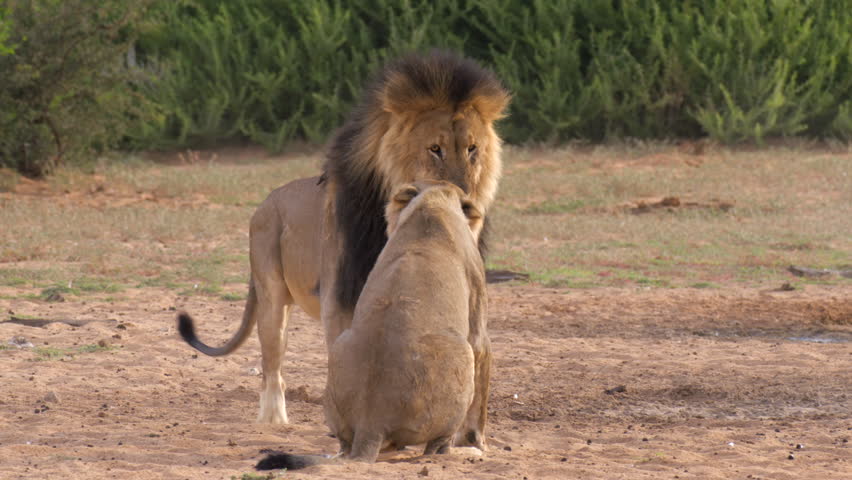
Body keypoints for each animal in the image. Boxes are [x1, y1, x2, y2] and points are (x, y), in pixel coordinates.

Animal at [177, 50, 509, 427]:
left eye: (472, 149)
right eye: (435, 149)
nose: (468, 207)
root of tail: (265, 202)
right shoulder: (339, 300)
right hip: (272, 298)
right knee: (271, 365)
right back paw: (274, 420)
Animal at [256, 181, 490, 470]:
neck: (433, 203)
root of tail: (371, 423)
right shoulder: (477, 304)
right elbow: (482, 351)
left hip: (340, 349)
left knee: (345, 445)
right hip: (461, 356)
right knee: (436, 447)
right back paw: (461, 452)